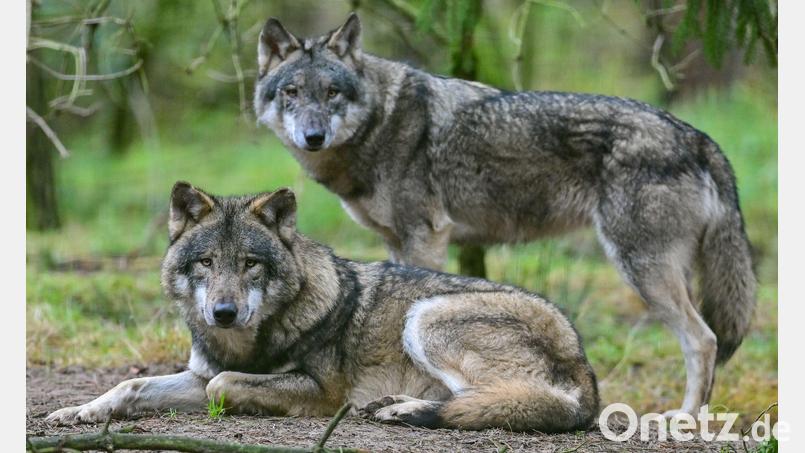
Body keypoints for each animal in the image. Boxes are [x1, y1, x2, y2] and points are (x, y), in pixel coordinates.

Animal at [46, 182, 599, 432]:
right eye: (206, 262)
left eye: (250, 264)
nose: (223, 312)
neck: (248, 342)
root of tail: (583, 361)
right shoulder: (200, 372)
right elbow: (132, 385)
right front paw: (77, 411)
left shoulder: (322, 392)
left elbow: (224, 385)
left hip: (427, 317)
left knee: (507, 400)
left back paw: (404, 409)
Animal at [252, 13, 757, 417]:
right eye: (291, 92)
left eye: (332, 92)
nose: (313, 136)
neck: (382, 121)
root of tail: (696, 136)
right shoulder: (397, 242)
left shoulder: (425, 237)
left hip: (641, 270)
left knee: (704, 340)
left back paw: (686, 417)